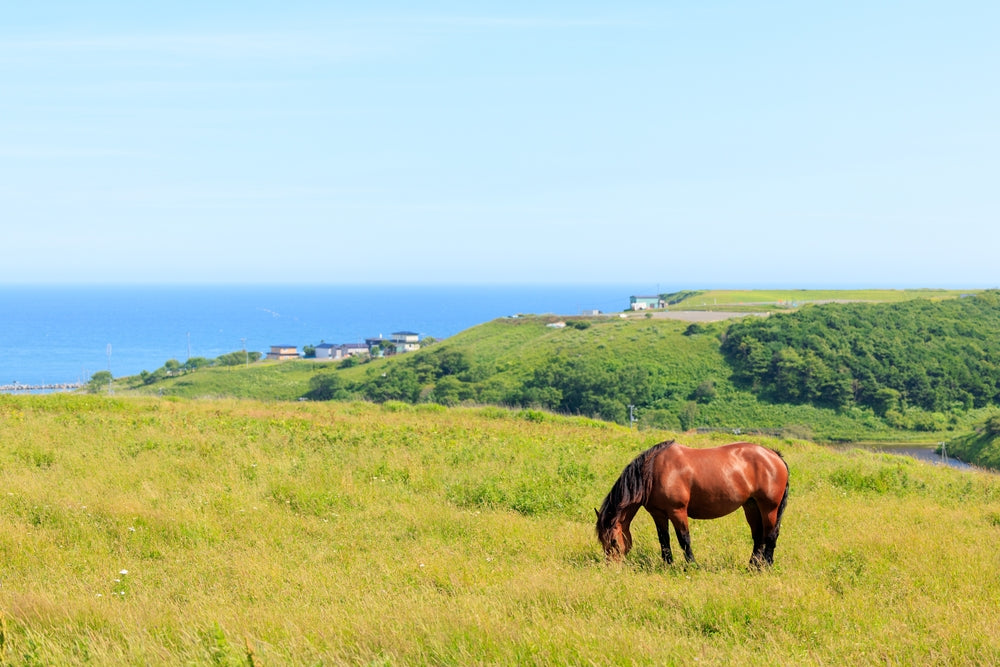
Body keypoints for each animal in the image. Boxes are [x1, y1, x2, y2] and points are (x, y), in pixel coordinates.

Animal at [595, 440, 789, 568]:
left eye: (613, 541)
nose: (611, 566)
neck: (653, 471)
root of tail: (774, 455)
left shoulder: (677, 511)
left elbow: (684, 539)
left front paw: (691, 565)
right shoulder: (658, 514)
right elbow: (664, 539)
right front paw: (668, 565)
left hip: (769, 507)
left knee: (771, 535)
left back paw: (766, 566)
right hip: (751, 506)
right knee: (758, 537)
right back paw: (752, 566)